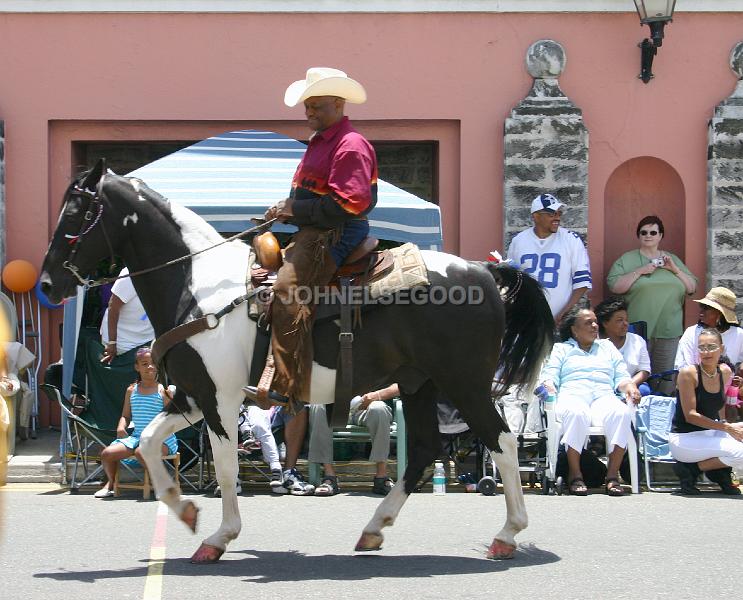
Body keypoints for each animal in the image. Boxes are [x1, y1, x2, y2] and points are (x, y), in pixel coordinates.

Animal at [40, 158, 552, 564]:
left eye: (77, 212)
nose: (46, 285)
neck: (198, 285)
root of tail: (486, 271)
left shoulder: (220, 400)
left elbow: (225, 468)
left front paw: (219, 537)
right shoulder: (192, 396)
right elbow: (147, 442)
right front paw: (183, 508)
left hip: (463, 382)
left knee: (503, 442)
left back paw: (508, 534)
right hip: (419, 383)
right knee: (425, 450)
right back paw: (373, 529)